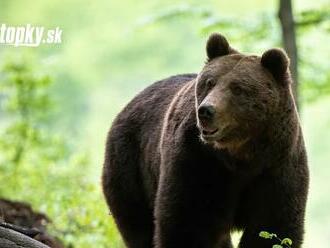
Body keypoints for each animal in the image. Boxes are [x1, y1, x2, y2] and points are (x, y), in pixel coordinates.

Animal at [102, 33, 308, 248]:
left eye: (238, 88)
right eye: (210, 82)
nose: (206, 111)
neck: (241, 154)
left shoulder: (277, 164)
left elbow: (272, 225)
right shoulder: (198, 161)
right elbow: (188, 221)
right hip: (131, 164)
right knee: (137, 223)